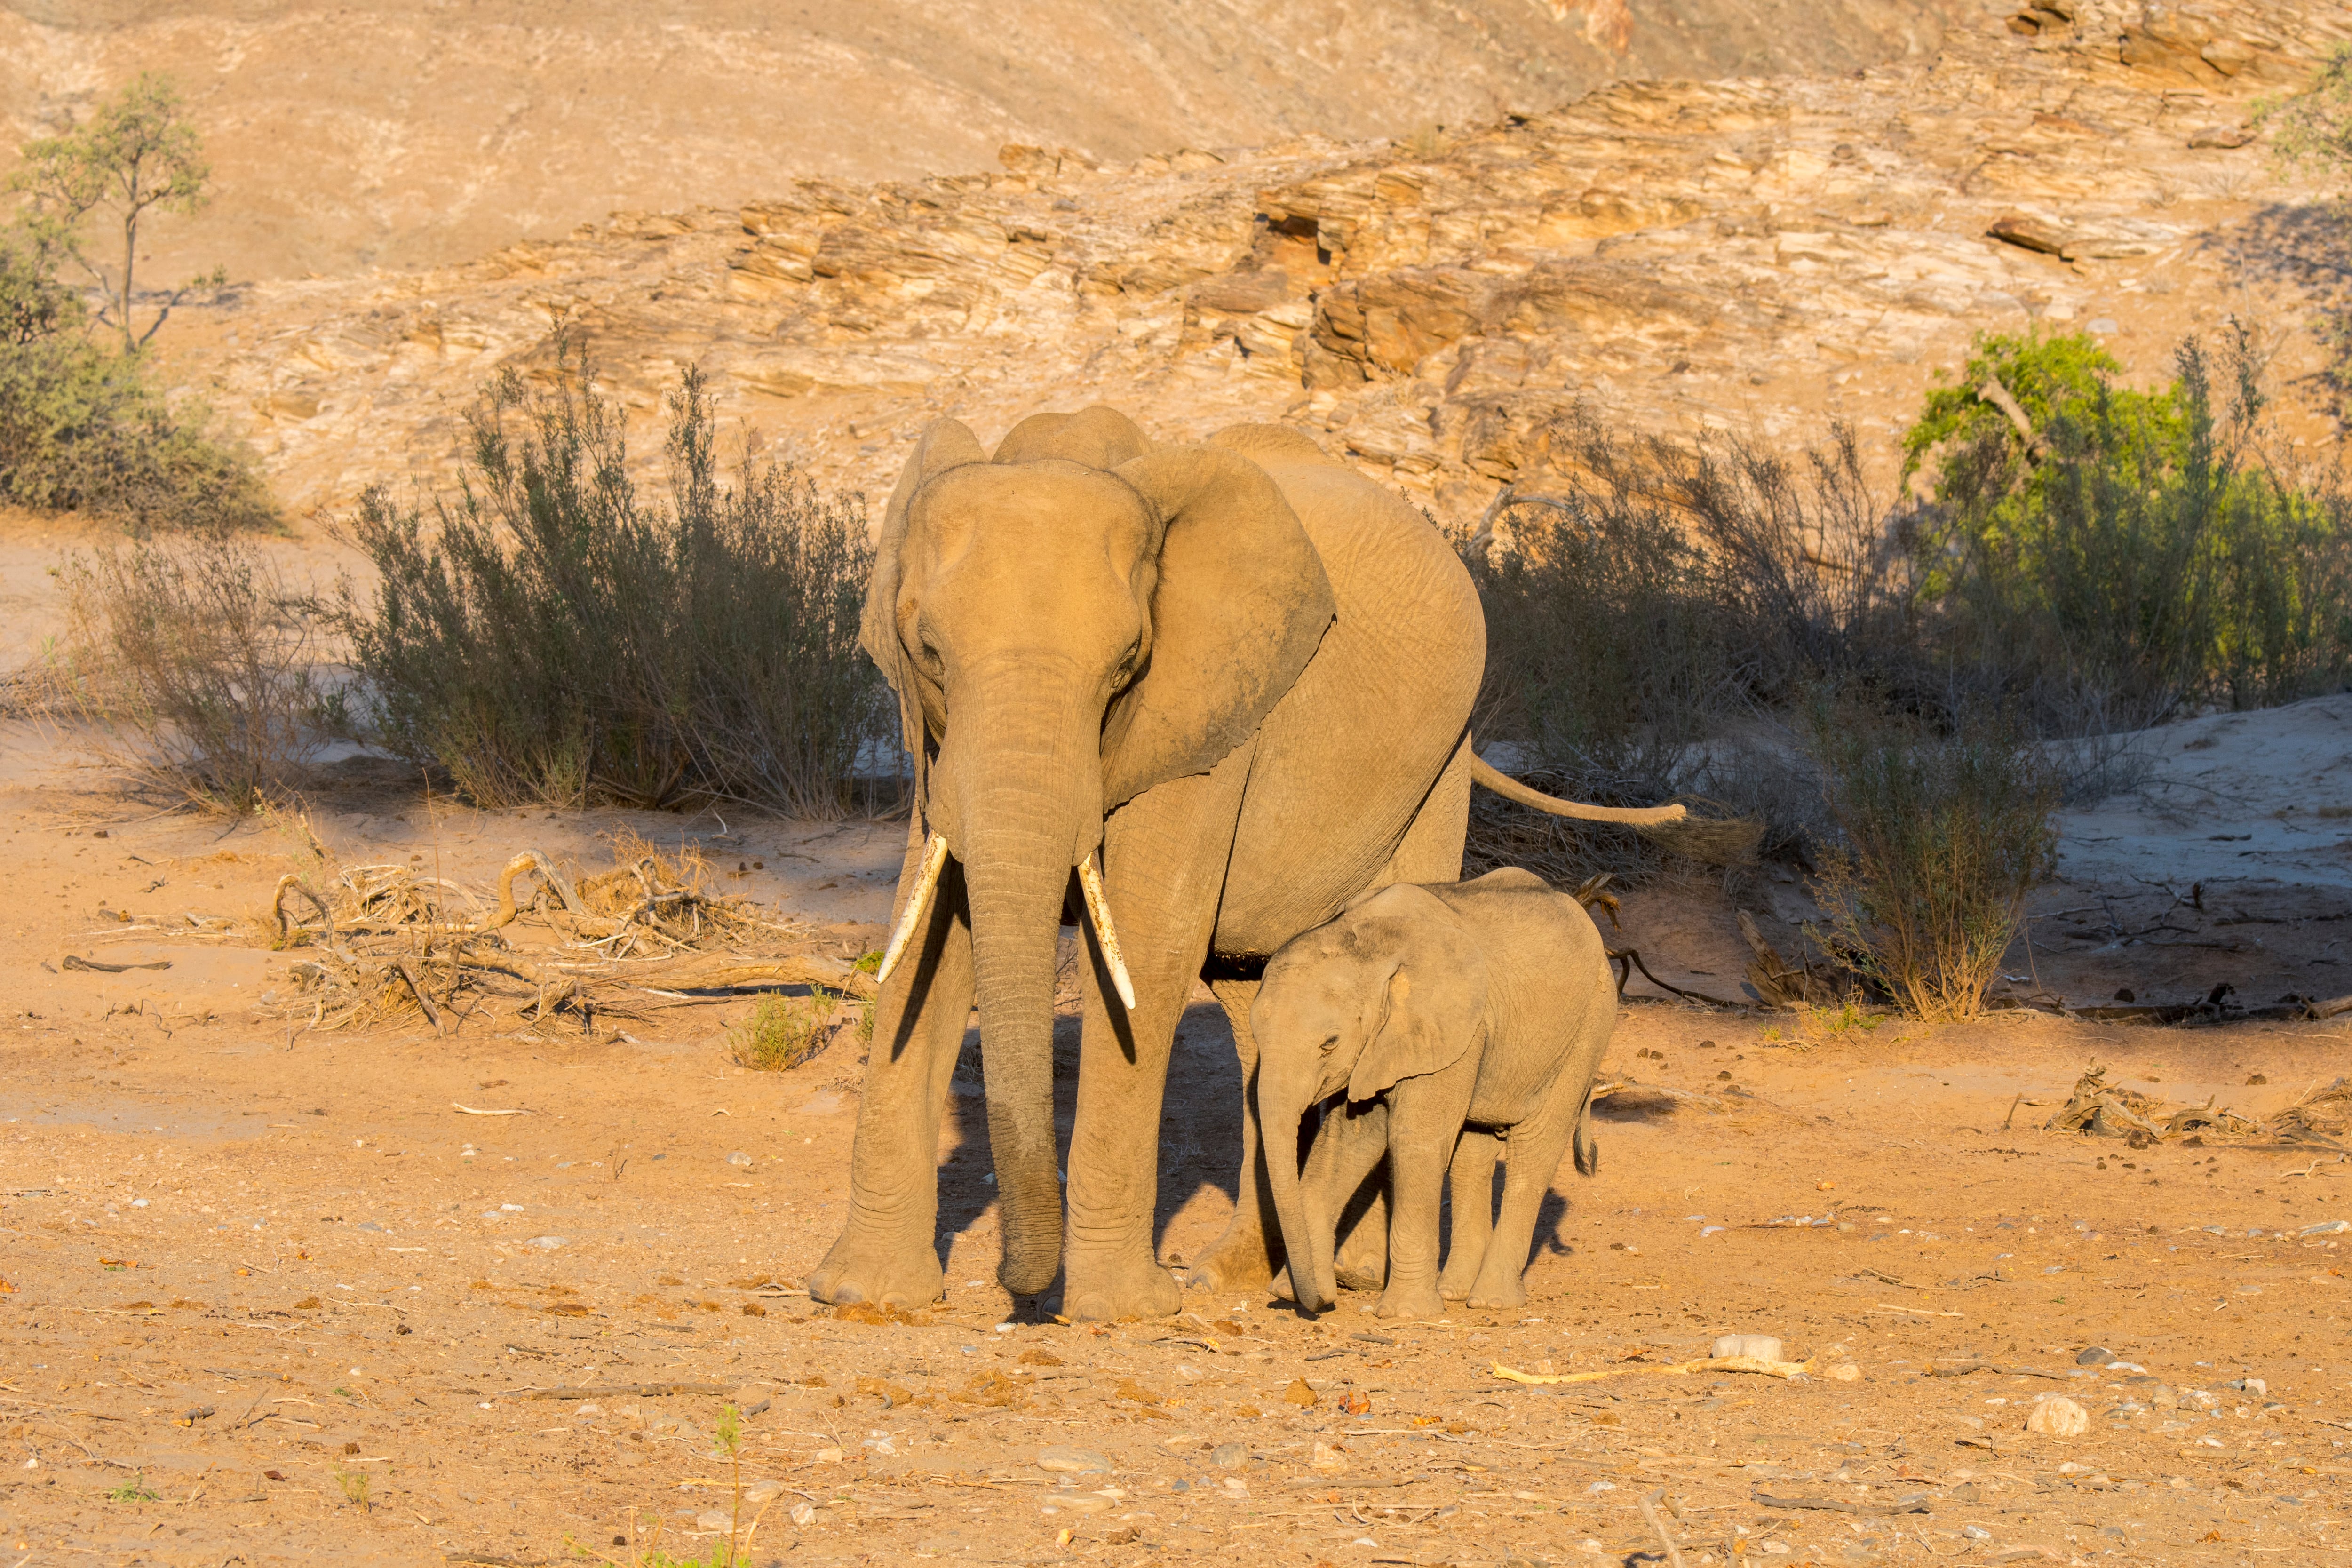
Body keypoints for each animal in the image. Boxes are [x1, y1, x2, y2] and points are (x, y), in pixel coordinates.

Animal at [1251, 865, 1618, 1316]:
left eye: (1329, 1043)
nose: (1325, 1301)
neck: (1371, 939)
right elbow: (1345, 1142)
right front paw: (1288, 1292)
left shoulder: (1451, 1029)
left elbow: (1415, 1141)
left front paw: (1404, 1314)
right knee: (1472, 1152)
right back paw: (1455, 1292)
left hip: (1589, 1026)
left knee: (1535, 1148)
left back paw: (1491, 1301)